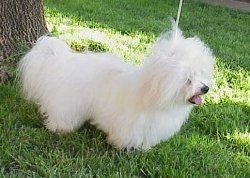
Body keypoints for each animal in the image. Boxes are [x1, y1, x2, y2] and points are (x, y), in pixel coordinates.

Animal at [18, 23, 214, 149]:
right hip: (66, 102)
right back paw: (60, 128)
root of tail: (57, 60)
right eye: (188, 79)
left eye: (201, 74)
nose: (205, 88)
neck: (149, 93)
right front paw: (124, 147)